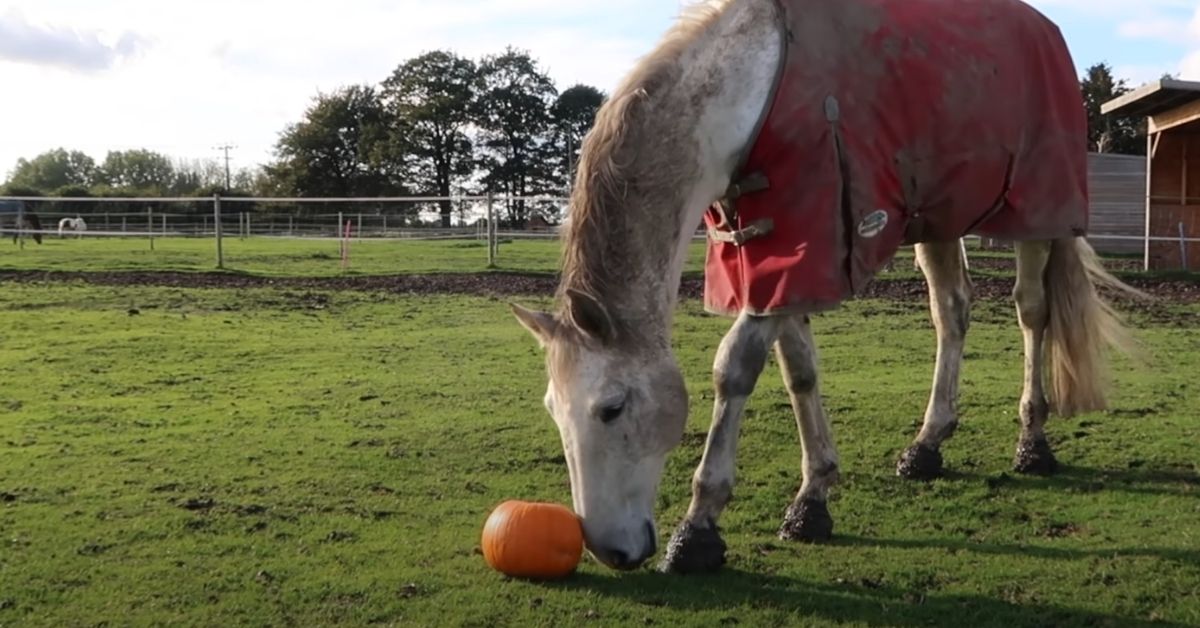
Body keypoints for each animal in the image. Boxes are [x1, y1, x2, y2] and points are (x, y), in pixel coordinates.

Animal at [511, 0, 1137, 573]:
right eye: (552, 410)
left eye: (611, 408)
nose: (611, 552)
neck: (752, 95)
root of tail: (1049, 33)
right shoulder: (779, 266)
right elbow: (800, 371)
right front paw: (813, 499)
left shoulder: (802, 252)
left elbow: (733, 369)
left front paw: (699, 526)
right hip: (937, 219)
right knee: (952, 312)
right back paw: (927, 445)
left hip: (1036, 215)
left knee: (1032, 312)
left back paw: (1033, 440)